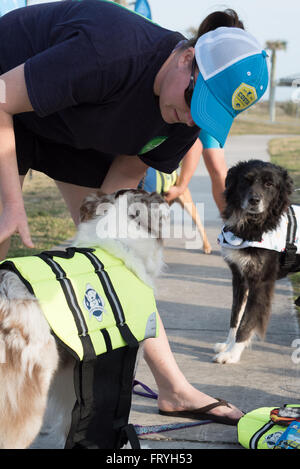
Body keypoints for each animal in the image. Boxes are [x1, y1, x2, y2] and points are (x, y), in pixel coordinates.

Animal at [213, 161, 298, 366]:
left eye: (269, 184)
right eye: (246, 180)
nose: (254, 200)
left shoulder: (260, 282)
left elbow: (247, 321)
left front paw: (232, 354)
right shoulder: (240, 278)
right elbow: (235, 317)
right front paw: (227, 345)